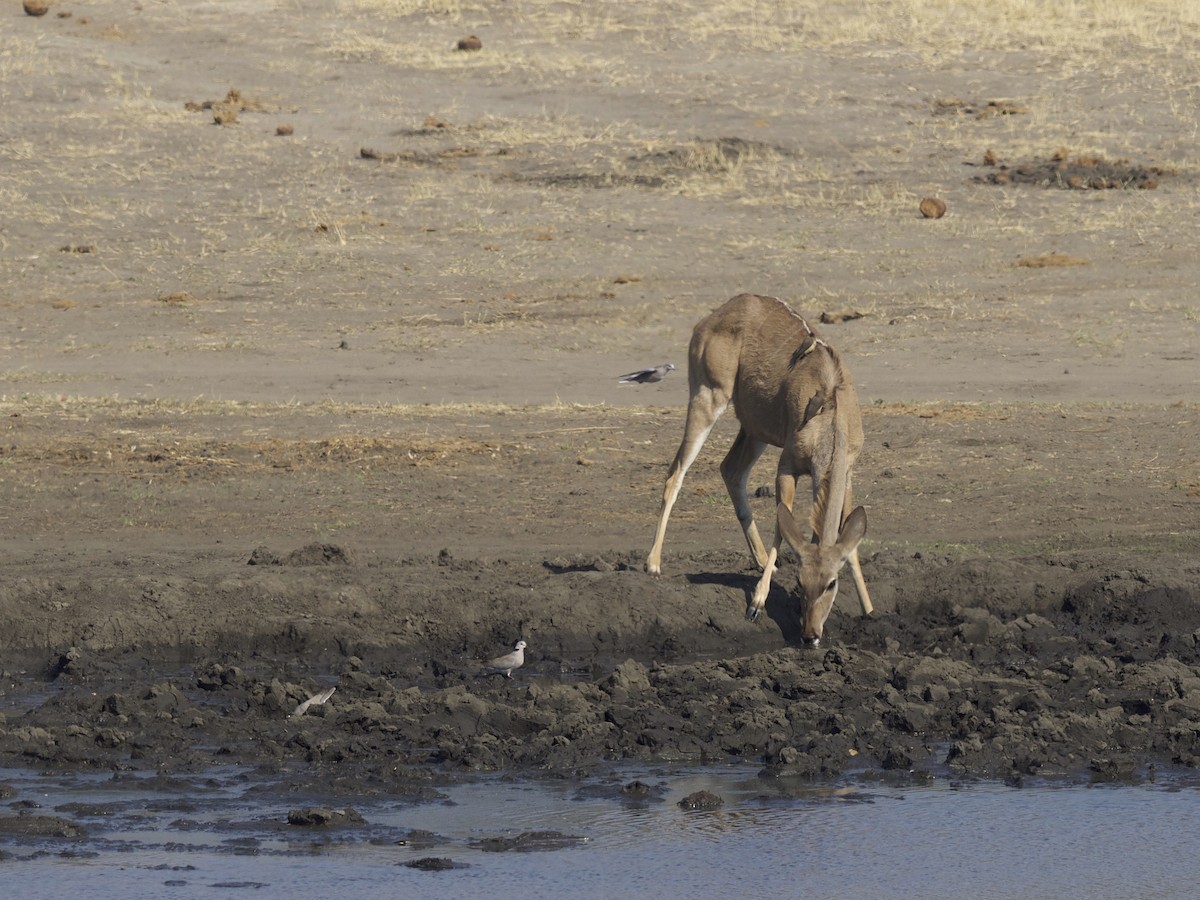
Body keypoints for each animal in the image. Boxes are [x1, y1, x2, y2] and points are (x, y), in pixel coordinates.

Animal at [648, 292, 873, 643]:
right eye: (800, 582)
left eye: (831, 583)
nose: (810, 634)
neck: (830, 413)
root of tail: (708, 320)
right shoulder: (787, 466)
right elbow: (782, 521)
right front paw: (756, 603)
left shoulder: (846, 473)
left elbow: (848, 538)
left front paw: (869, 608)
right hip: (708, 396)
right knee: (676, 473)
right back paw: (654, 564)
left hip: (754, 429)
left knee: (730, 470)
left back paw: (763, 558)